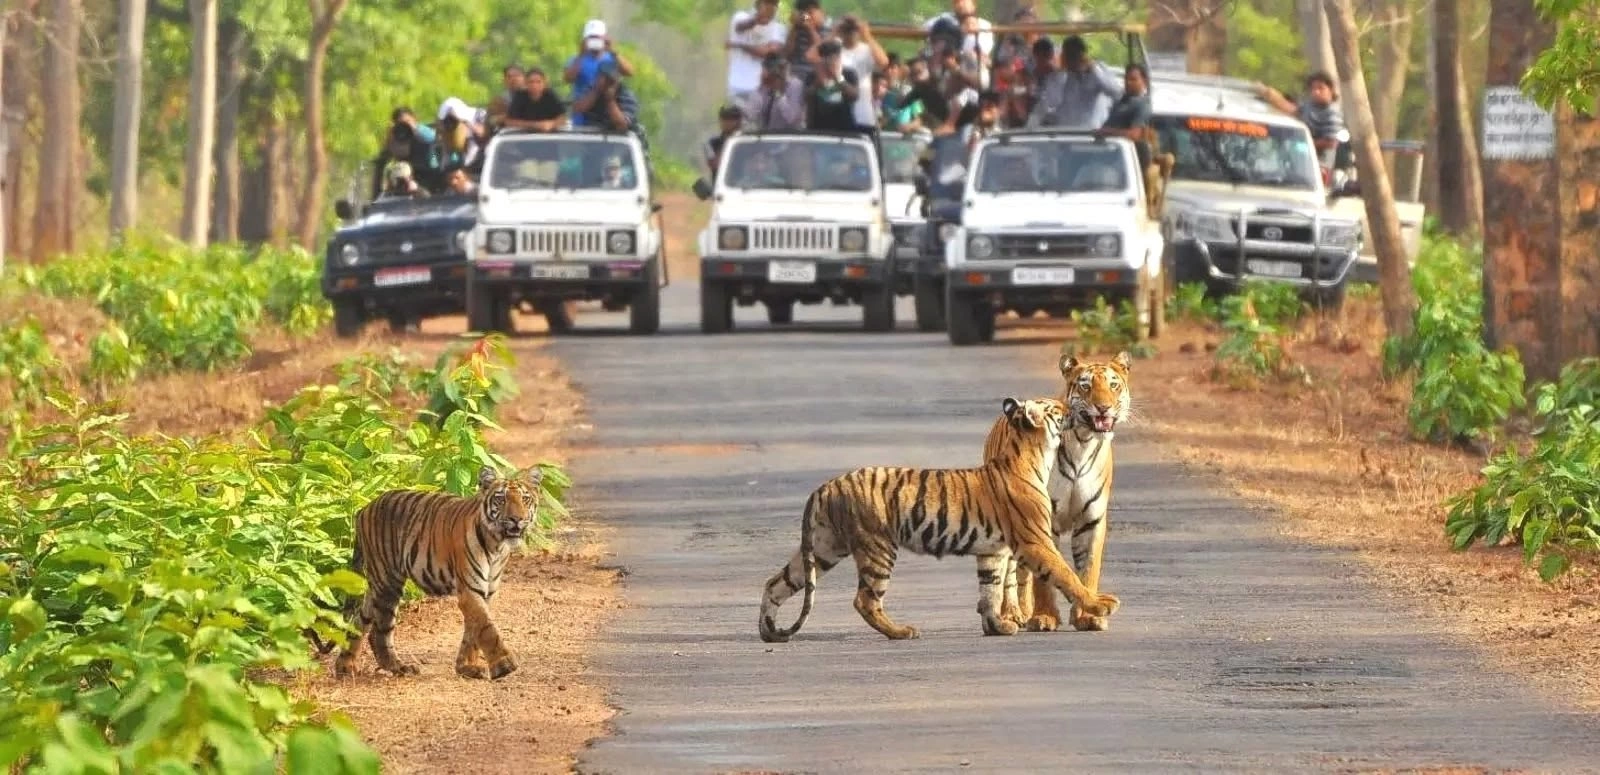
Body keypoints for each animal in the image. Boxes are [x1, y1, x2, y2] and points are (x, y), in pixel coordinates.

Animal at [311, 464, 543, 680]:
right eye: (501, 499)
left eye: (525, 499)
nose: (516, 519)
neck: (497, 546)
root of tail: (364, 508)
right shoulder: (470, 590)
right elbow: (486, 628)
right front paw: (505, 665)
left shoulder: (486, 591)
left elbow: (473, 630)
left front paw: (467, 667)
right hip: (388, 581)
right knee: (379, 630)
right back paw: (398, 667)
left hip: (377, 584)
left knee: (360, 620)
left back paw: (345, 667)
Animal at [758, 397, 1121, 643]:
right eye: (1056, 408)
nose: (1072, 405)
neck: (1033, 454)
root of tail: (825, 486)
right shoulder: (1035, 541)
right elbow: (1066, 575)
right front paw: (1101, 605)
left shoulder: (993, 551)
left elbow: (990, 590)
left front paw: (997, 627)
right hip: (877, 547)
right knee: (865, 600)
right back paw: (901, 631)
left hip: (824, 547)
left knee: (776, 583)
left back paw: (769, 631)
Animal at [994, 351, 1131, 634]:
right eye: (1086, 385)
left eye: (1113, 385)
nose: (1104, 407)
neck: (1083, 441)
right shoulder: (1041, 519)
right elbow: (1044, 577)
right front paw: (1044, 617)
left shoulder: (1091, 519)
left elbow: (1088, 569)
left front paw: (1088, 617)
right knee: (1011, 572)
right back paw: (1013, 614)